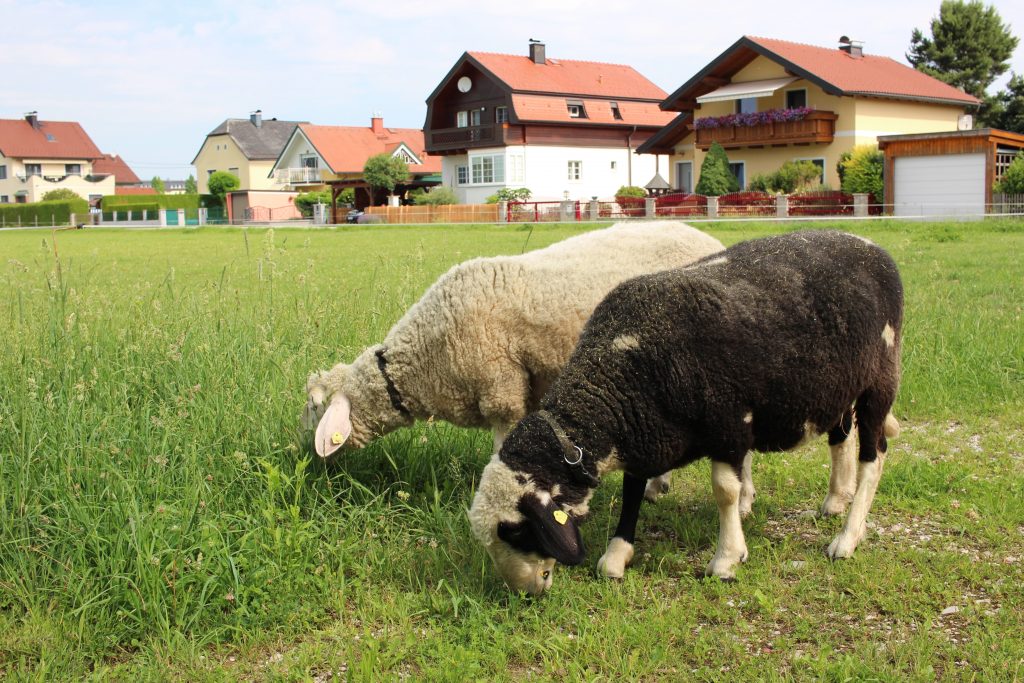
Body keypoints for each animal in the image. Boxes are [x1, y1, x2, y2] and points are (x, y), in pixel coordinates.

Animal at [468, 229, 901, 593]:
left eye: (516, 531)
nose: (526, 593)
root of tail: (868, 245)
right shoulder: (644, 434)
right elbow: (633, 488)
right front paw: (617, 554)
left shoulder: (730, 427)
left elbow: (725, 491)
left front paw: (727, 559)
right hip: (839, 389)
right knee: (841, 436)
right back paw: (834, 501)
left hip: (879, 383)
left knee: (874, 455)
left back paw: (847, 537)